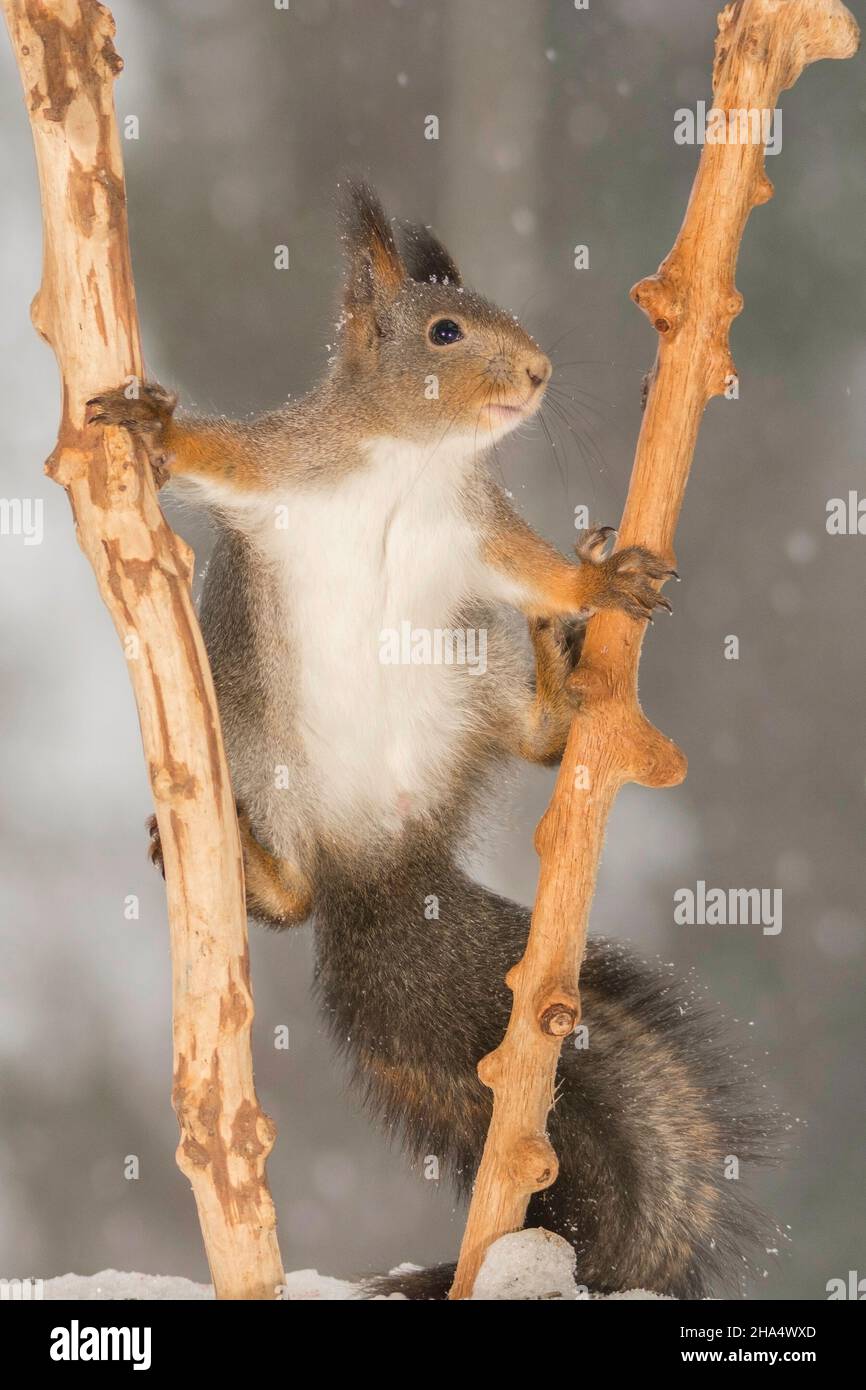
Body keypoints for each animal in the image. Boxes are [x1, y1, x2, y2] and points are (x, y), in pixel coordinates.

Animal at [88, 181, 773, 1299]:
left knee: (529, 742)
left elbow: (540, 569)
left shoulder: (480, 532)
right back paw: (260, 867)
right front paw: (152, 422)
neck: (411, 462)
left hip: (469, 682)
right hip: (252, 737)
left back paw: (556, 685)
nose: (537, 374)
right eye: (445, 330)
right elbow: (211, 456)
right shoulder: (280, 467)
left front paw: (597, 582)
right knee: (295, 900)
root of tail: (381, 857)